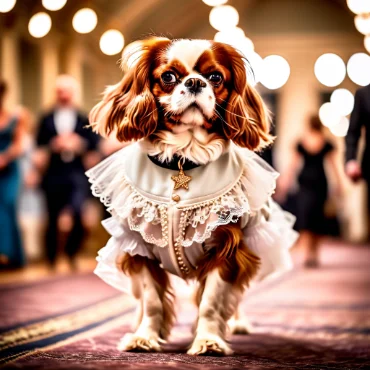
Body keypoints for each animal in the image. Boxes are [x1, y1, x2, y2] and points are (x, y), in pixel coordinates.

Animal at [86, 37, 294, 356]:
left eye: (216, 77)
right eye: (169, 77)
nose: (195, 82)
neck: (184, 157)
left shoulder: (227, 246)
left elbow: (211, 300)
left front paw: (208, 340)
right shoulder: (138, 245)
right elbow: (151, 300)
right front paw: (144, 336)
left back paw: (237, 323)